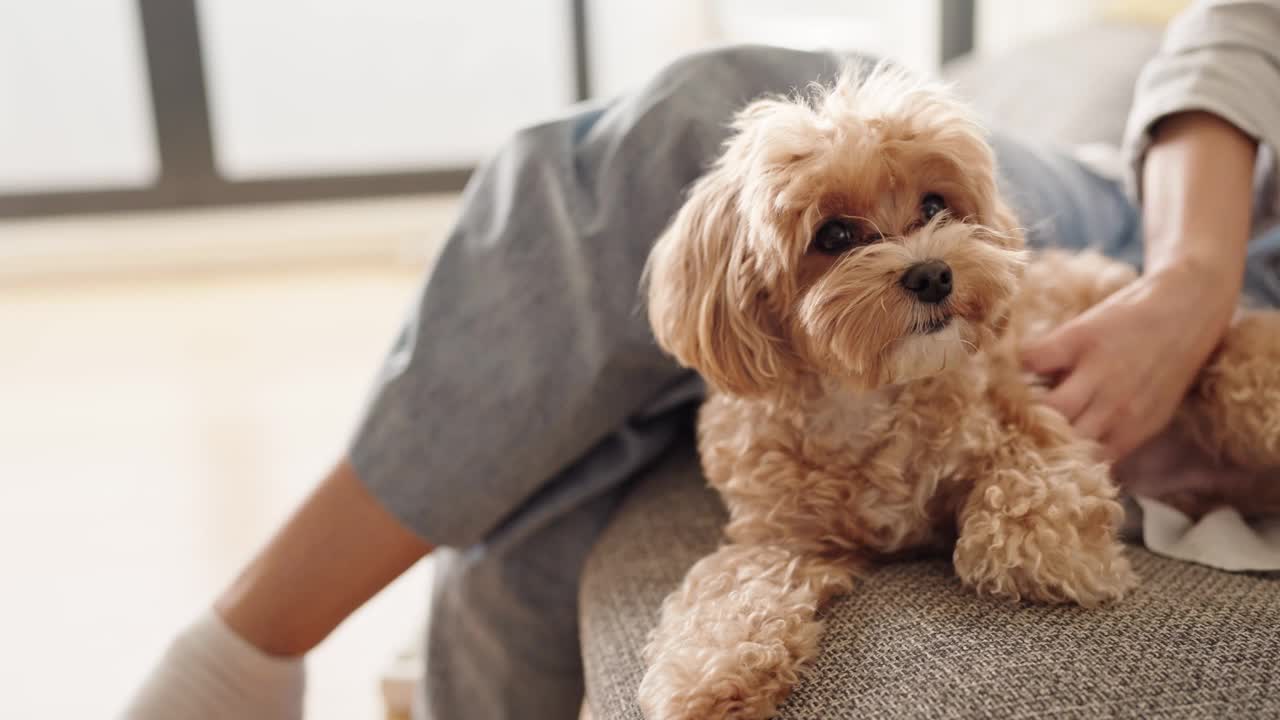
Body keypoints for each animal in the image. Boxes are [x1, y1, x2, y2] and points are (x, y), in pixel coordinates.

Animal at [645, 63, 1280, 717]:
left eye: (934, 204)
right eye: (834, 234)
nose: (932, 274)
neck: (863, 400)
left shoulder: (1031, 416)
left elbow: (1022, 501)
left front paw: (1057, 557)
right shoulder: (780, 540)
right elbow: (729, 589)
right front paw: (707, 675)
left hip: (1241, 387)